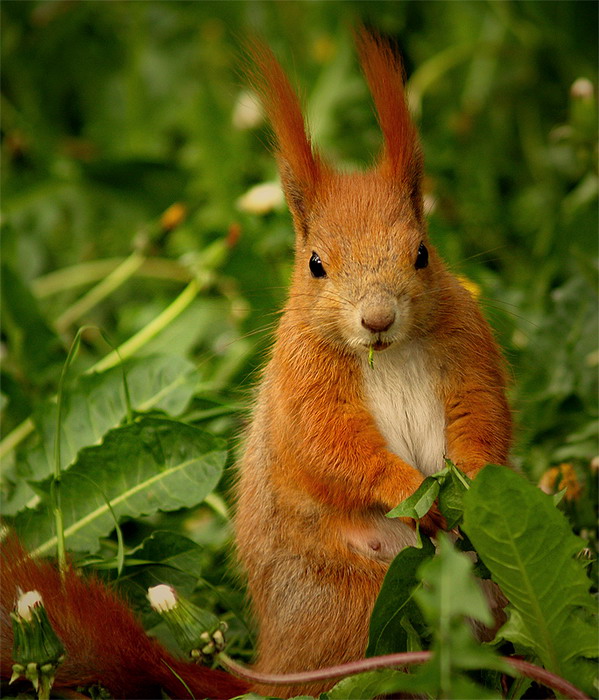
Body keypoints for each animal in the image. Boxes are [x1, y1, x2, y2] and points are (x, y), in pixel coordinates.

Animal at [234, 28, 510, 700]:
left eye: (422, 252)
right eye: (315, 263)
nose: (378, 320)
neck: (389, 356)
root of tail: (278, 657)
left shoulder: (469, 352)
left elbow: (483, 415)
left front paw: (470, 480)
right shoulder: (304, 382)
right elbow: (334, 447)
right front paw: (411, 491)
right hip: (359, 606)